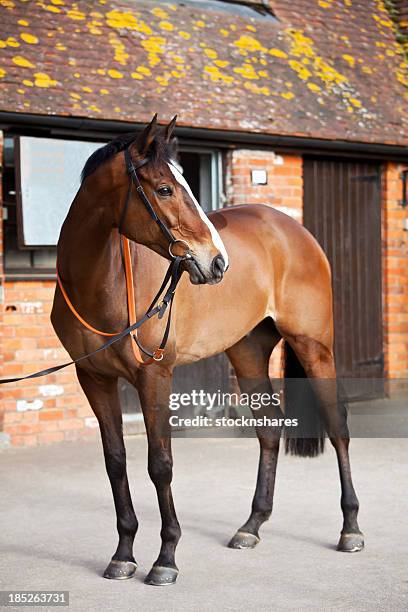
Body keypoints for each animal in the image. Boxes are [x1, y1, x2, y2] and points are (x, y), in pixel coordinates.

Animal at [51, 116, 364, 588]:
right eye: (164, 188)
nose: (217, 262)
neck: (103, 283)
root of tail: (293, 229)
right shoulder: (93, 378)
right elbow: (115, 462)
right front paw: (123, 554)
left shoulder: (154, 376)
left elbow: (160, 464)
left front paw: (165, 559)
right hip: (248, 352)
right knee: (269, 428)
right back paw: (251, 526)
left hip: (314, 346)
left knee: (337, 426)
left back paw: (350, 529)